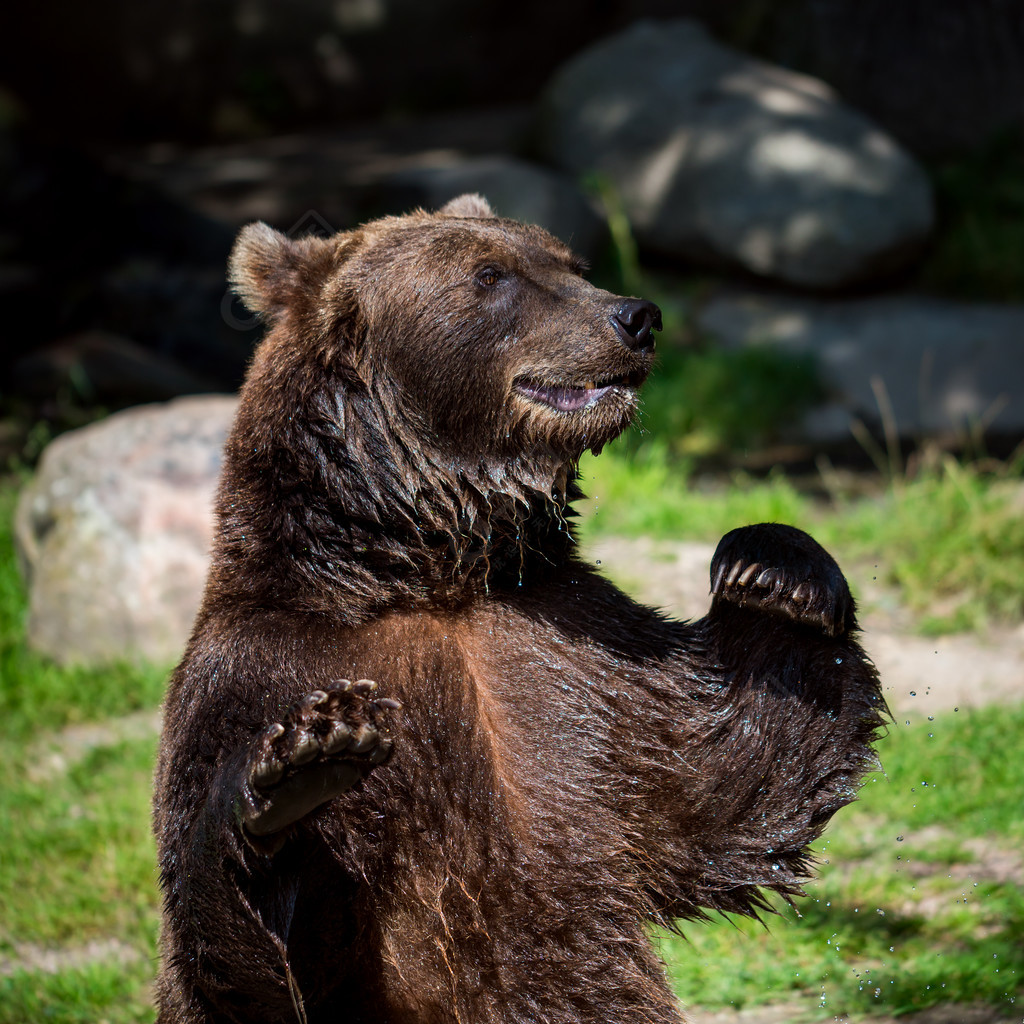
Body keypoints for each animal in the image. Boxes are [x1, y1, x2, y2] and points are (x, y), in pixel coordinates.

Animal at [151, 193, 888, 1024]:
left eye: (569, 262)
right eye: (490, 275)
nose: (637, 316)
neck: (424, 572)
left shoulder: (577, 659)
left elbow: (728, 783)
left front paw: (772, 566)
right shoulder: (252, 676)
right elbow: (257, 966)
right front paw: (302, 768)